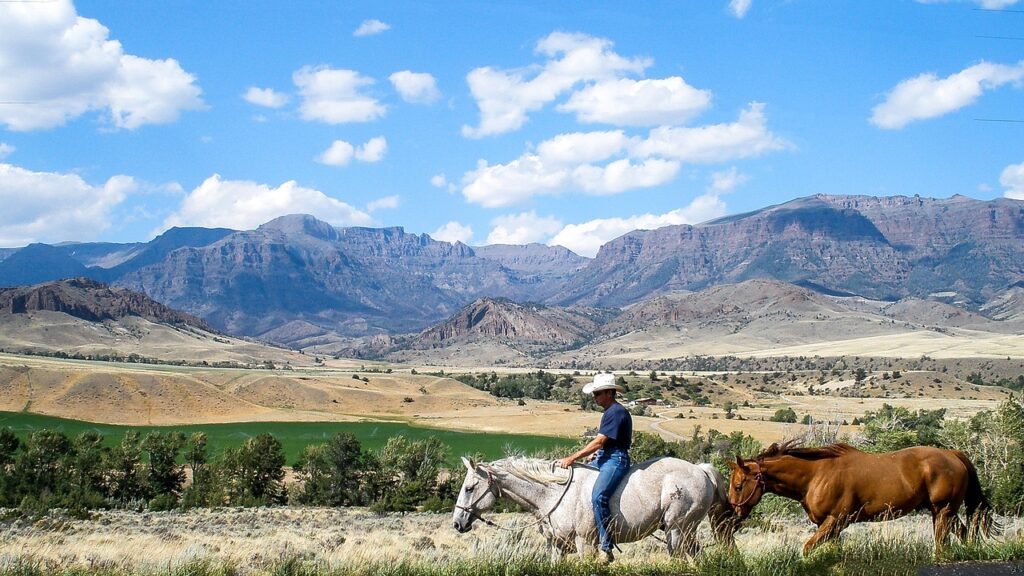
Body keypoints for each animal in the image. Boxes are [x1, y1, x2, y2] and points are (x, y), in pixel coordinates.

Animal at [452, 456, 737, 560]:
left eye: (469, 488)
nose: (457, 523)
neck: (554, 494)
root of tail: (700, 469)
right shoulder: (558, 546)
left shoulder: (584, 543)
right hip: (685, 531)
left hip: (677, 530)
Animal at [727, 441, 997, 555]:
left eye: (739, 486)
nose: (734, 513)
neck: (815, 475)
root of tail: (953, 455)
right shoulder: (829, 526)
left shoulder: (834, 521)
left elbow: (807, 548)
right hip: (942, 511)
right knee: (962, 533)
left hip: (943, 510)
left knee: (942, 541)